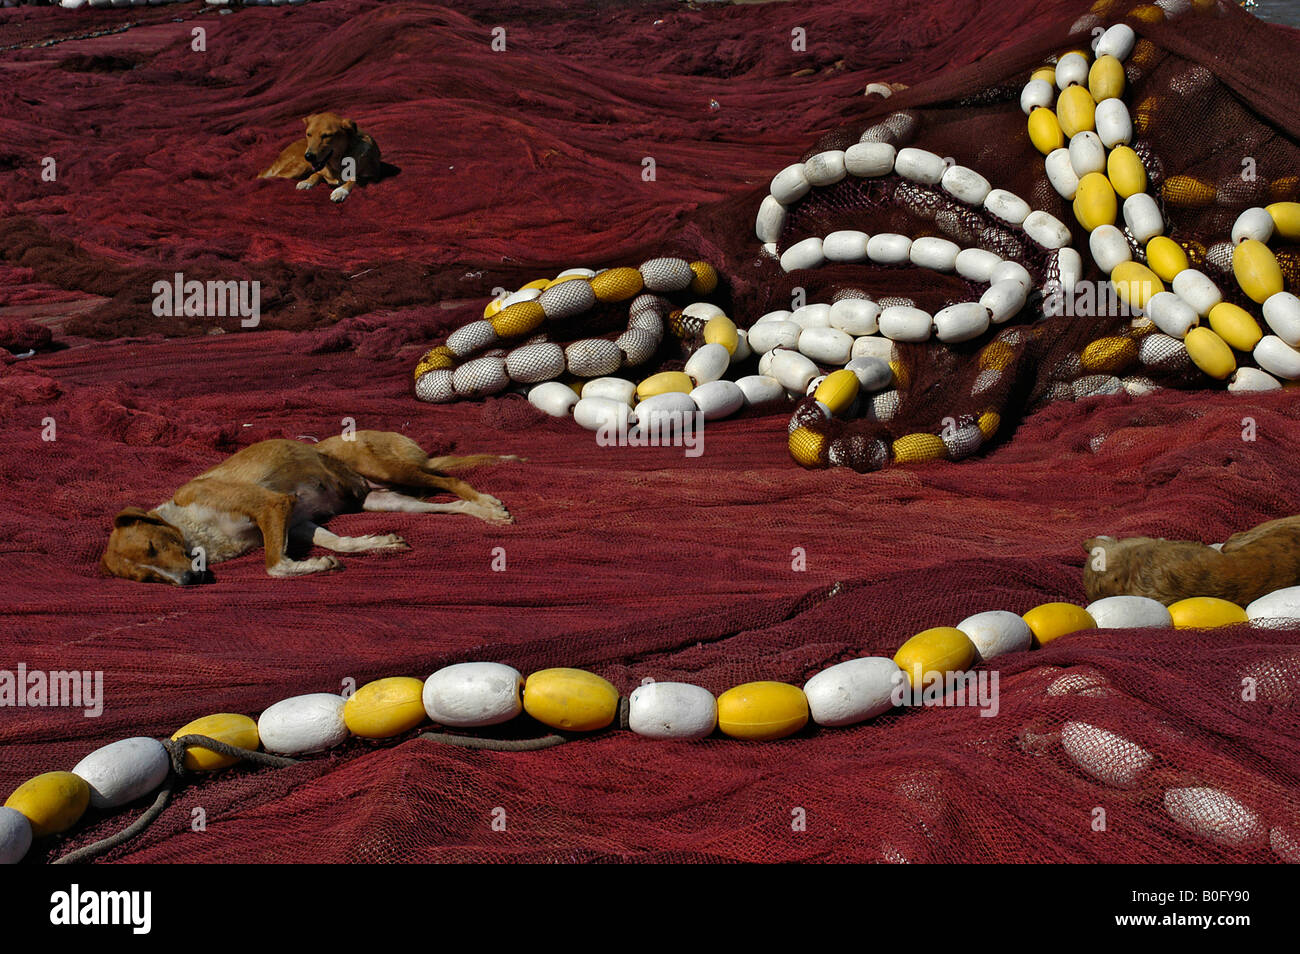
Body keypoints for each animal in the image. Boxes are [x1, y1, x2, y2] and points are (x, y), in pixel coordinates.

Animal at [100, 431, 512, 582]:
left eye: (153, 546)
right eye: (146, 578)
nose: (188, 581)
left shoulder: (272, 504)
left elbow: (274, 566)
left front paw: (313, 565)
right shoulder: (297, 520)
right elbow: (340, 543)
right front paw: (376, 544)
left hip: (388, 467)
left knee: (452, 481)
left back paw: (488, 504)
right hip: (386, 499)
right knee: (451, 504)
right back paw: (483, 513)